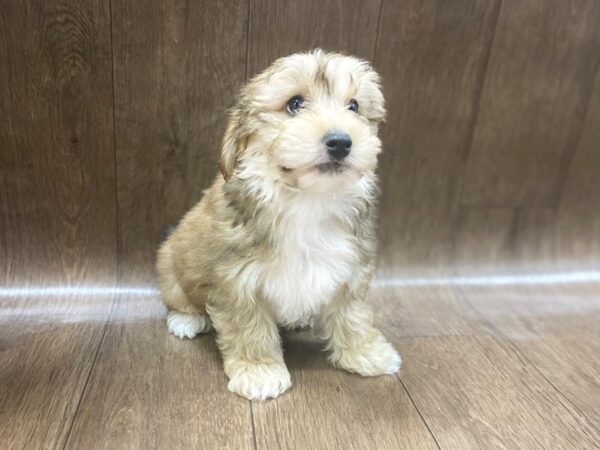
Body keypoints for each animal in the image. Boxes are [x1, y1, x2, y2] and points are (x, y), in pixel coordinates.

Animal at [158, 50, 404, 400]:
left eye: (354, 106)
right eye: (295, 103)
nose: (341, 142)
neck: (307, 199)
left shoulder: (350, 270)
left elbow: (353, 315)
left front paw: (367, 352)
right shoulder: (238, 281)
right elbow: (251, 329)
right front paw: (259, 371)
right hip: (171, 267)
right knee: (178, 298)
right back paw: (186, 320)